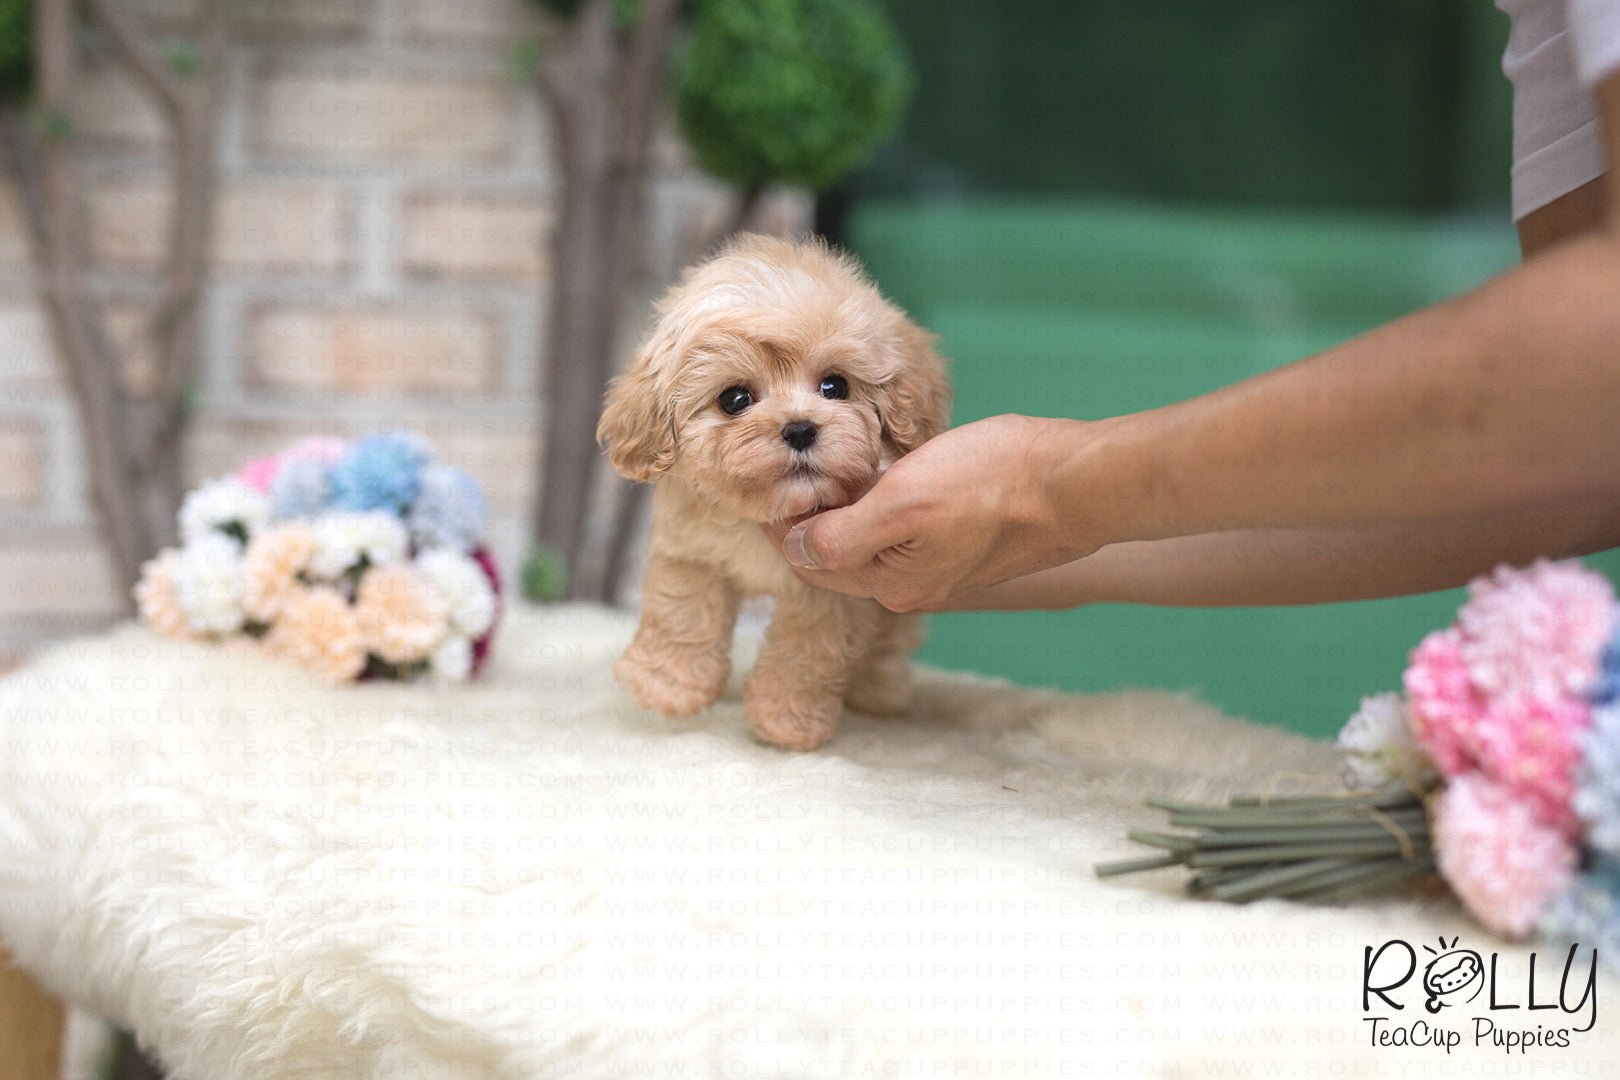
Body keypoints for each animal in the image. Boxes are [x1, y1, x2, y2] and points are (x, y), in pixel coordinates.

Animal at [596, 233, 946, 748]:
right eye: (734, 399)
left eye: (835, 386)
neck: (764, 510)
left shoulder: (833, 589)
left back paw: (878, 691)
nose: (800, 428)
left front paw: (785, 721)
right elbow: (682, 612)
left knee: (888, 637)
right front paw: (668, 686)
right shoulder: (689, 550)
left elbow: (806, 651)